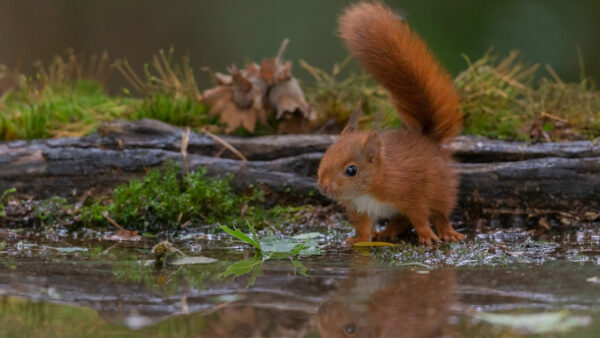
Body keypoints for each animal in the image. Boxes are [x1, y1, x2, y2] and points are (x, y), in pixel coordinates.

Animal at [316, 1, 466, 246]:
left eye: (351, 170)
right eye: (325, 157)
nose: (323, 187)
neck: (369, 188)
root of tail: (428, 139)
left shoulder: (411, 194)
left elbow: (419, 216)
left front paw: (426, 236)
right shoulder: (361, 209)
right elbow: (363, 227)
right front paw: (358, 240)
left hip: (441, 190)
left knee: (439, 214)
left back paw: (447, 232)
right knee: (399, 221)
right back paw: (384, 233)